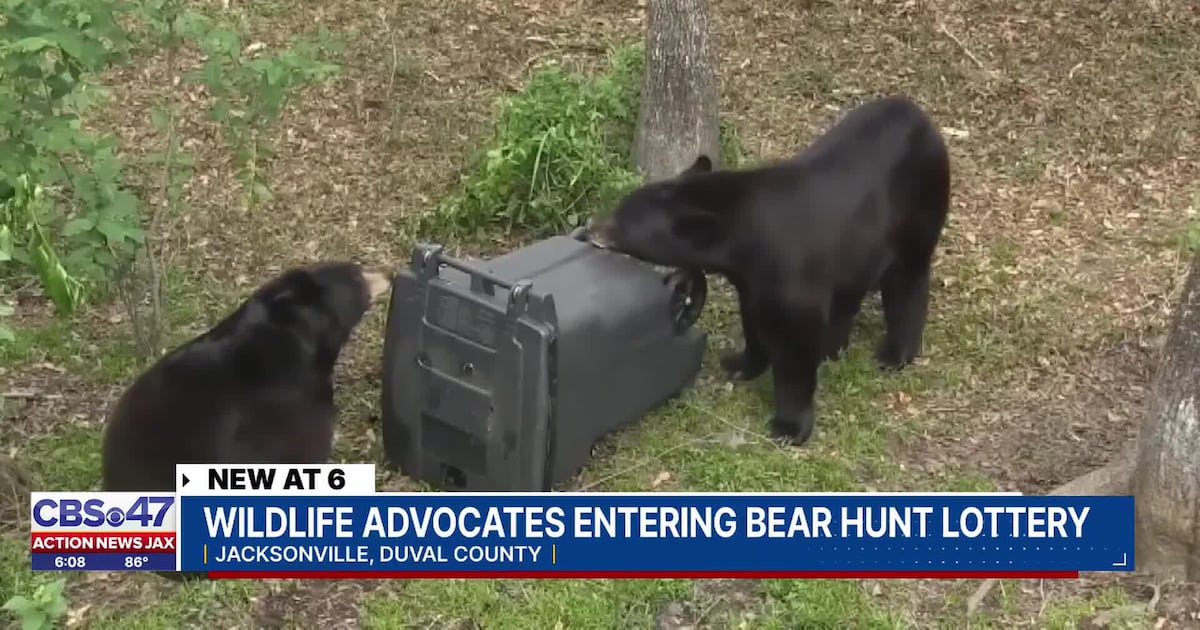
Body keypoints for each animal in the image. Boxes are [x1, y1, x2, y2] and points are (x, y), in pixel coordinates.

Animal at [587, 95, 951, 446]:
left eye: (622, 223)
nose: (591, 230)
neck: (745, 236)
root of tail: (921, 118)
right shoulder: (751, 281)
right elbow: (754, 320)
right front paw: (740, 364)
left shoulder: (791, 269)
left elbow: (794, 345)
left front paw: (789, 426)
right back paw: (832, 346)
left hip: (918, 213)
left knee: (907, 283)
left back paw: (894, 353)